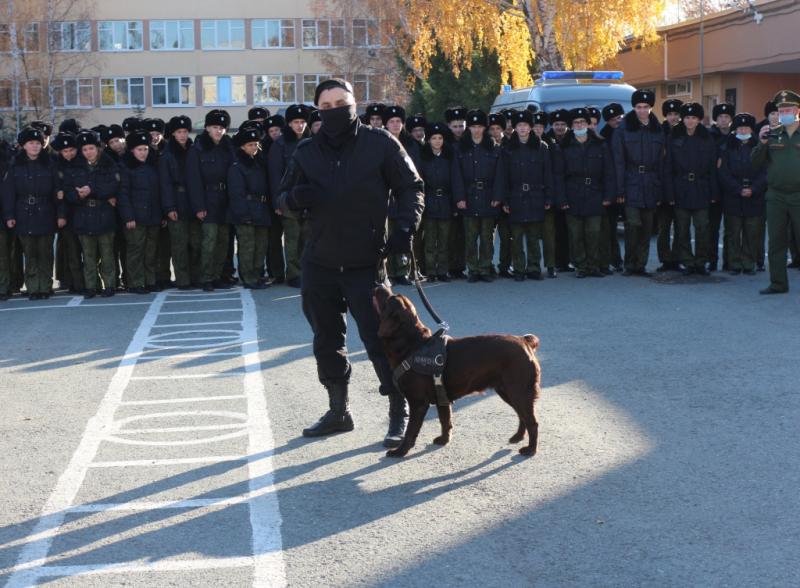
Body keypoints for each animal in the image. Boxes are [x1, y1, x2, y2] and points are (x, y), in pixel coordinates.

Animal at [372, 286, 540, 460]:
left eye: (389, 299)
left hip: (518, 391)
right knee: (522, 416)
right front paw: (444, 440)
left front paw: (400, 451)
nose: (379, 285)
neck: (412, 345)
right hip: (507, 391)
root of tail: (525, 341)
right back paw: (518, 437)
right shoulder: (441, 396)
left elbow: (411, 431)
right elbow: (445, 420)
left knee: (532, 422)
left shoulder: (418, 403)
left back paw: (530, 449)